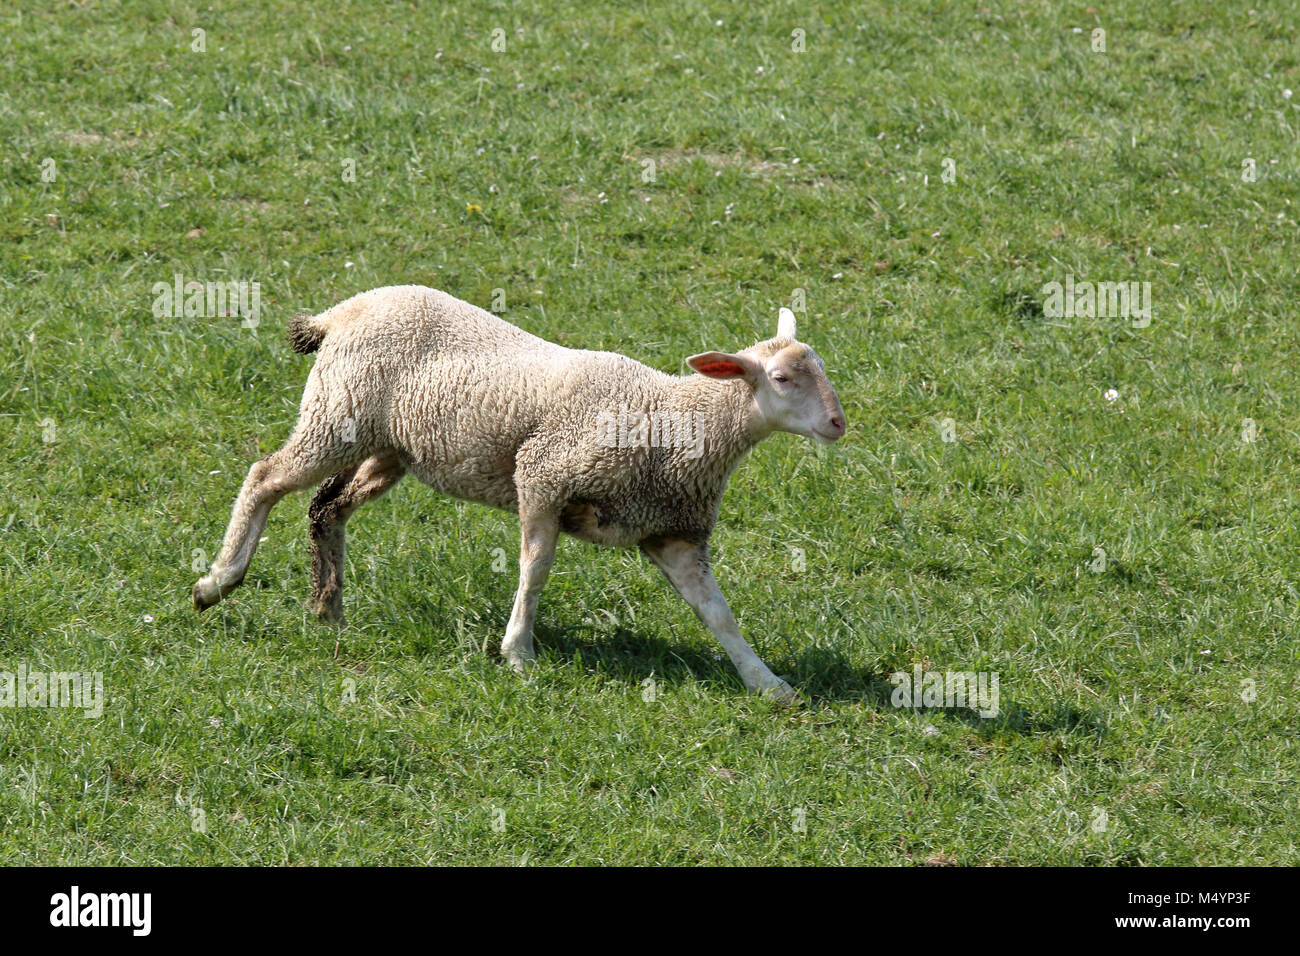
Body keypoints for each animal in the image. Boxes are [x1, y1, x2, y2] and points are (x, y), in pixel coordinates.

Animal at [189, 286, 842, 702]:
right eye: (782, 379)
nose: (838, 424)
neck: (674, 418)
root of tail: (341, 313)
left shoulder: (671, 533)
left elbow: (718, 614)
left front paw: (767, 684)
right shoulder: (542, 476)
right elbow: (535, 568)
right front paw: (518, 652)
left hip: (388, 446)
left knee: (326, 507)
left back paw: (326, 608)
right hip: (336, 414)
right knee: (264, 477)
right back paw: (218, 581)